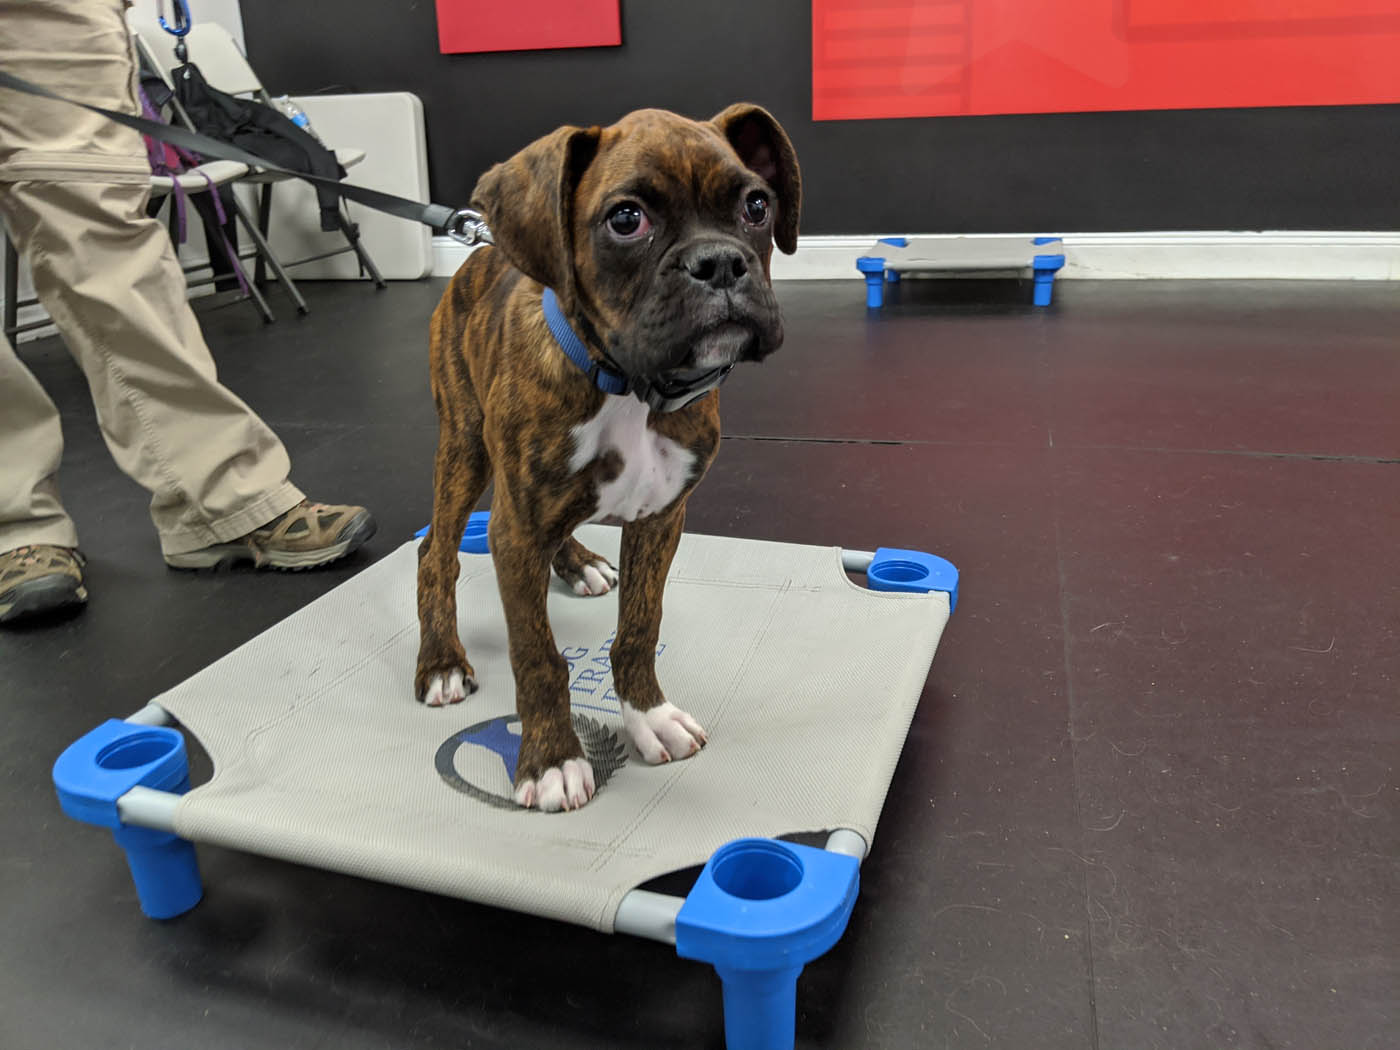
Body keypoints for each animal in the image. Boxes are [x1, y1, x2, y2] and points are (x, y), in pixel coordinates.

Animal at [411, 105, 800, 812]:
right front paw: (551, 759)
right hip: (465, 448)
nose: (720, 263)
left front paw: (649, 716)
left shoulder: (661, 519)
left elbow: (640, 629)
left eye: (757, 205)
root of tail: (480, 248)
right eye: (626, 220)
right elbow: (538, 656)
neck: (629, 384)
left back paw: (577, 563)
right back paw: (442, 661)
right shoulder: (516, 528)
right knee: (436, 553)